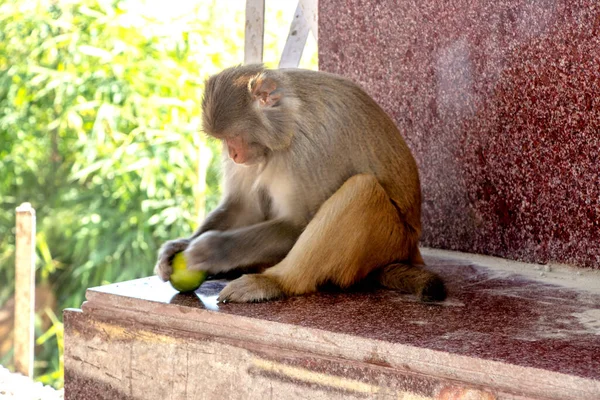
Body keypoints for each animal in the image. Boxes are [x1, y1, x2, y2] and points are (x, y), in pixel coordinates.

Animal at [155, 65, 446, 304]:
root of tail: (410, 250)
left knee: (361, 190)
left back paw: (274, 282)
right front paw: (178, 246)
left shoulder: (310, 152)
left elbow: (299, 223)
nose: (233, 155)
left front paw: (214, 249)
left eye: (234, 136)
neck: (291, 124)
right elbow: (244, 207)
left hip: (391, 240)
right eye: (224, 140)